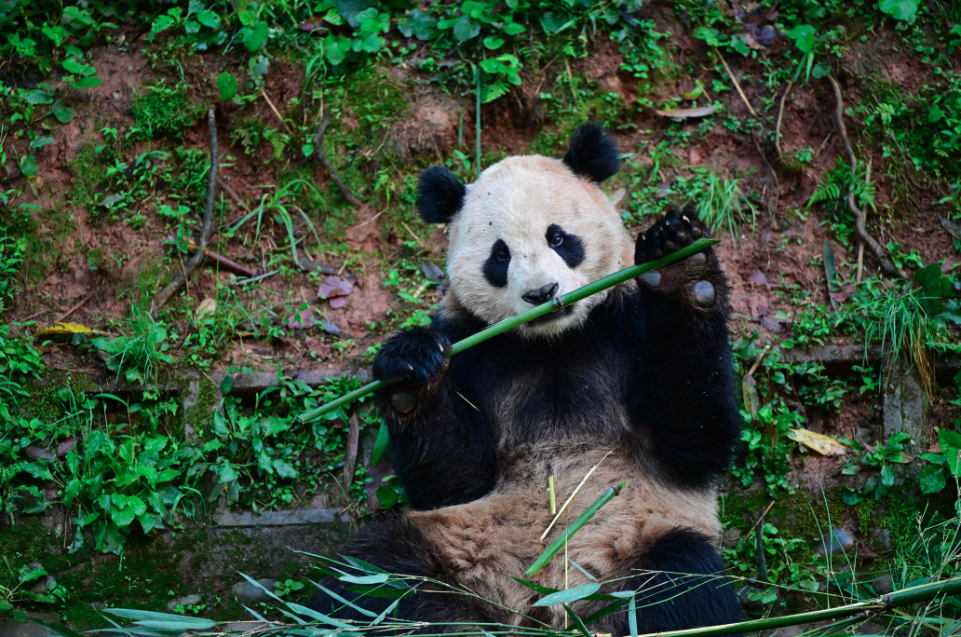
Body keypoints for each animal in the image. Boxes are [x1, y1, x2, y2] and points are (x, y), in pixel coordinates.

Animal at [308, 121, 744, 632]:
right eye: (500, 256)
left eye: (559, 238)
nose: (542, 292)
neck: (552, 342)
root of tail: (544, 603)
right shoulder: (472, 346)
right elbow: (453, 481)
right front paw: (407, 375)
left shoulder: (625, 324)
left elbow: (693, 438)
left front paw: (680, 266)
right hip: (452, 549)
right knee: (373, 582)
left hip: (635, 543)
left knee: (682, 582)